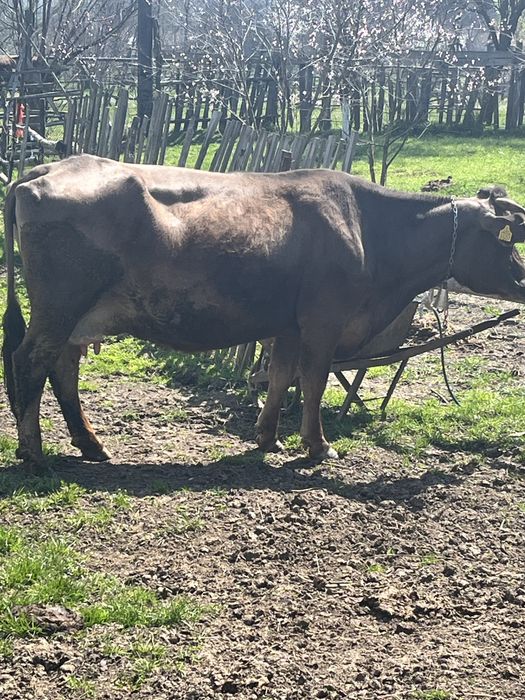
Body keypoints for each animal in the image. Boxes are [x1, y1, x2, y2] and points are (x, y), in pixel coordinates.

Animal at [3, 154, 525, 471]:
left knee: (62, 368)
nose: (523, 281)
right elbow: (313, 381)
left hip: (76, 317)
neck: (367, 228)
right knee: (30, 363)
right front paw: (317, 446)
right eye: (506, 241)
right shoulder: (323, 320)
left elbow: (279, 376)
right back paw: (35, 454)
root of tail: (47, 167)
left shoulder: (288, 325)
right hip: (59, 307)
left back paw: (91, 444)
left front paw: (268, 438)